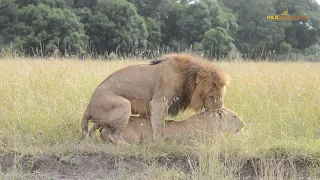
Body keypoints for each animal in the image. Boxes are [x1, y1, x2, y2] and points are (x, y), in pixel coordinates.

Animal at [81, 53, 229, 145]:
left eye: (221, 95)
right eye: (211, 96)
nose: (220, 111)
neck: (187, 78)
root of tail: (88, 107)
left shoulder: (147, 108)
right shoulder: (159, 102)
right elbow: (159, 125)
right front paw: (159, 142)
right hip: (124, 104)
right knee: (113, 135)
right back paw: (129, 146)